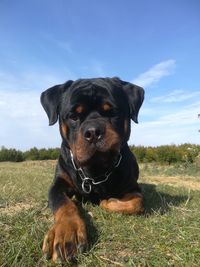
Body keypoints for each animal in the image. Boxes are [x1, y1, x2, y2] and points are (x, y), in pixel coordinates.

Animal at [40, 76, 144, 262]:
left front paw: (109, 202)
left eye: (112, 112)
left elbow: (137, 203)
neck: (95, 170)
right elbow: (63, 204)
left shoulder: (132, 187)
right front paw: (66, 231)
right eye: (73, 116)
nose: (93, 131)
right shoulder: (58, 184)